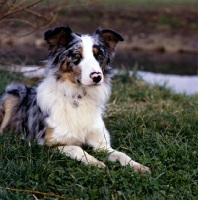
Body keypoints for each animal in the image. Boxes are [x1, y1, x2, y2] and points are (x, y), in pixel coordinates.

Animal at [0, 26, 150, 173]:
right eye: (77, 56)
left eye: (99, 56)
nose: (97, 77)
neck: (78, 96)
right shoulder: (49, 144)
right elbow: (77, 148)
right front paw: (95, 163)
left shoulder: (102, 144)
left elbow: (121, 154)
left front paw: (137, 166)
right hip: (14, 92)